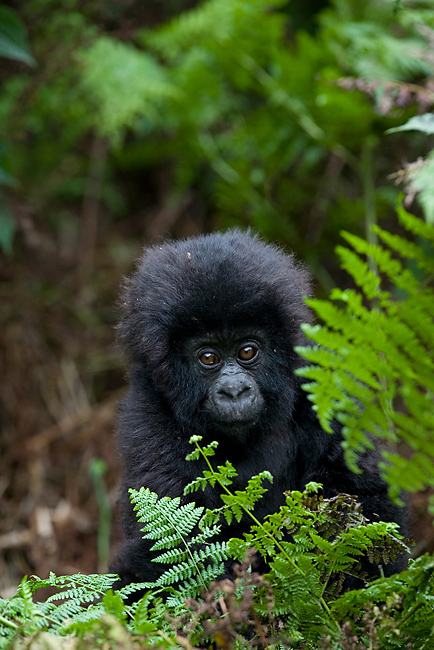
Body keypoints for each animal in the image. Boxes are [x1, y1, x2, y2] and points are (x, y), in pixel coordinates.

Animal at [112, 229, 406, 588]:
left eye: (247, 351)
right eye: (208, 357)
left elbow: (366, 508)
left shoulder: (321, 388)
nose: (234, 391)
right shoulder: (149, 418)